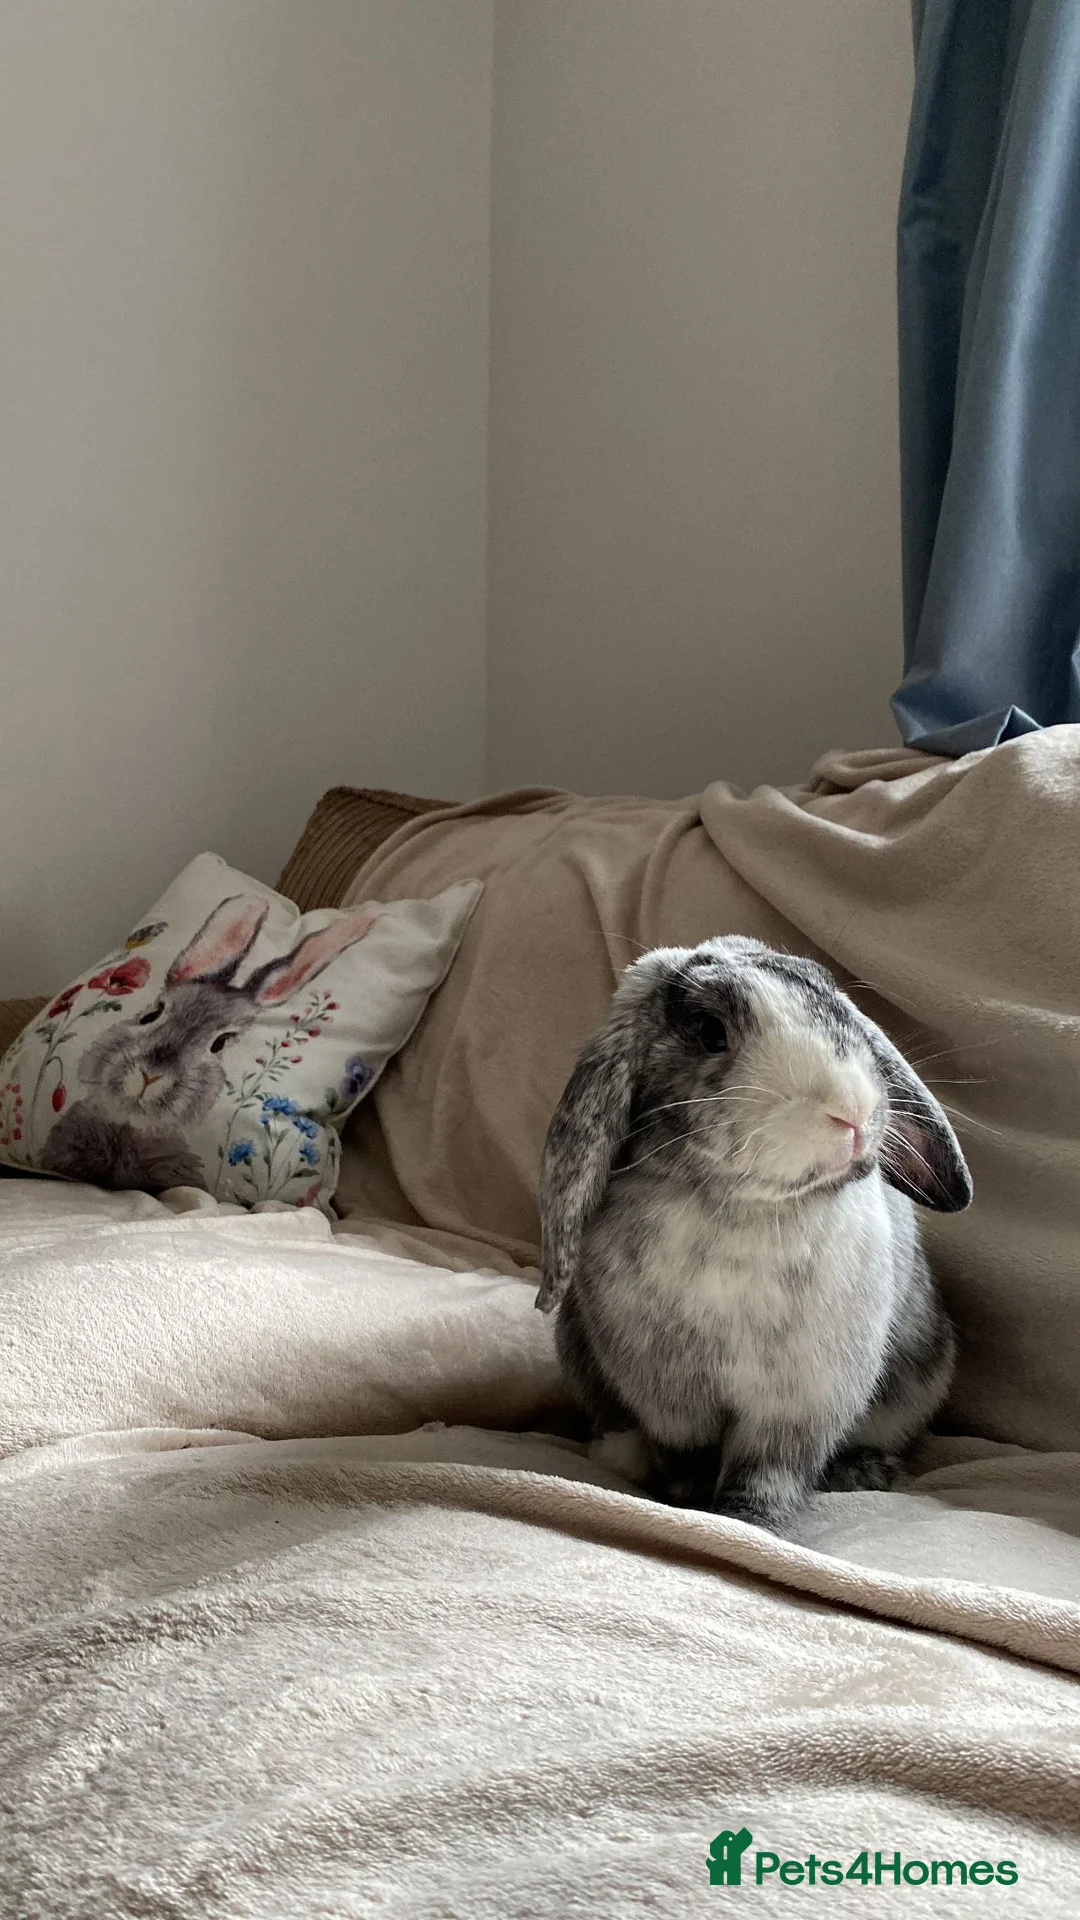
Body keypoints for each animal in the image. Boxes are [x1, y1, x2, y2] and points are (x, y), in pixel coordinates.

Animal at [536, 936, 972, 1535]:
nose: (851, 1111)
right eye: (711, 1032)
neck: (747, 1211)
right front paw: (687, 1505)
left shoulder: (799, 1402)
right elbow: (687, 1459)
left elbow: (768, 1470)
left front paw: (753, 1524)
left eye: (830, 1000)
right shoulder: (670, 1398)